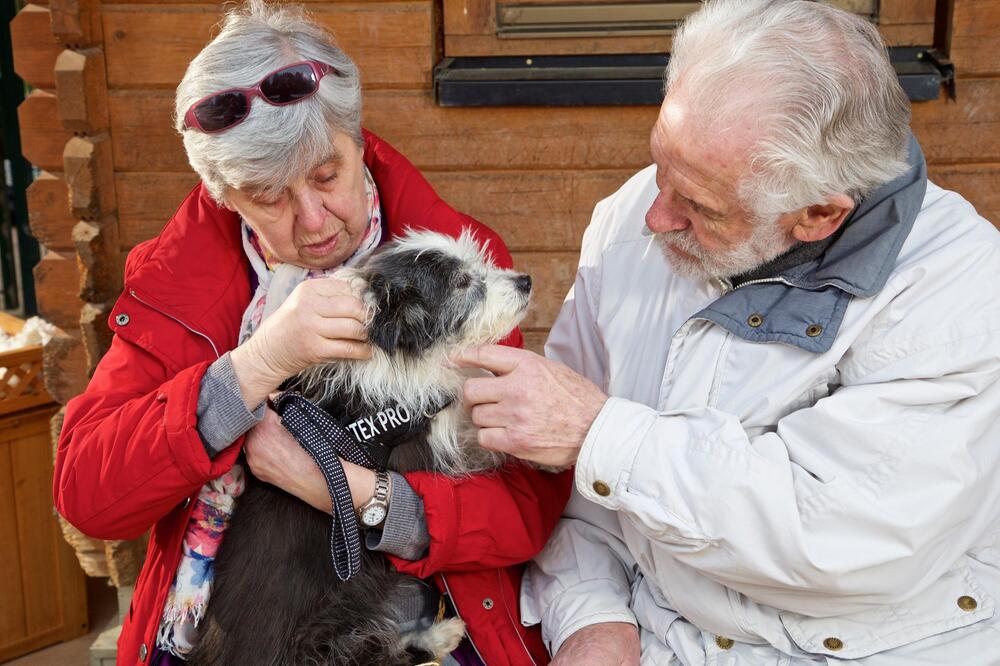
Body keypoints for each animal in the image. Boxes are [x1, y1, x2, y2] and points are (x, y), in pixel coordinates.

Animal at [188, 230, 532, 664]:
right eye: (462, 283)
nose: (526, 281)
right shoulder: (425, 441)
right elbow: (468, 426)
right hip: (333, 626)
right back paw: (438, 635)